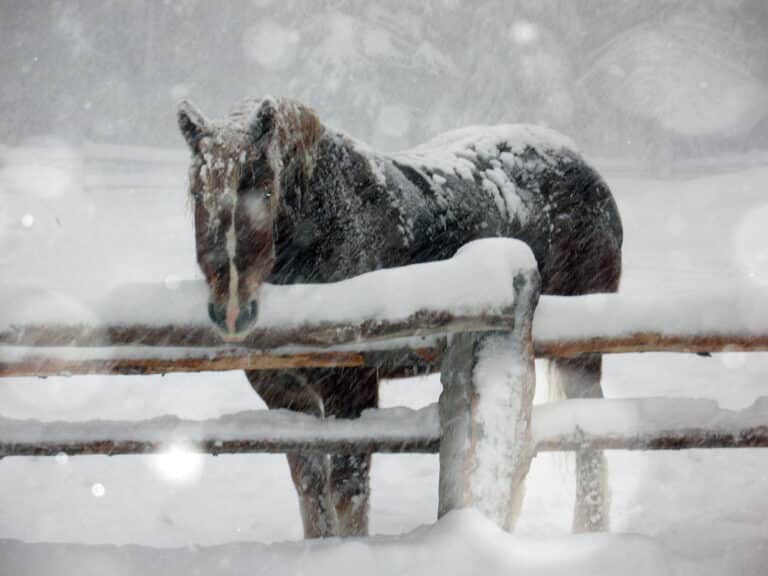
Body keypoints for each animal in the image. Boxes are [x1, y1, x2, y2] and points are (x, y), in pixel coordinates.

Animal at [177, 96, 623, 538]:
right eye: (198, 194)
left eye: (267, 192)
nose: (232, 312)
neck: (327, 226)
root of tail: (587, 170)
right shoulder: (285, 396)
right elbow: (311, 490)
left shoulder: (351, 391)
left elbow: (348, 492)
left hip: (580, 356)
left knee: (590, 443)